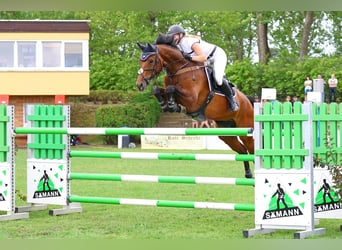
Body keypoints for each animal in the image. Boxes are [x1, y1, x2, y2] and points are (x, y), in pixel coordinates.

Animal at [136, 37, 254, 178]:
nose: (139, 84)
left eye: (151, 60)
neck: (179, 70)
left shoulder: (192, 100)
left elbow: (171, 89)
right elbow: (158, 90)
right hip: (226, 132)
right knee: (243, 150)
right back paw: (248, 174)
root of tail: (247, 100)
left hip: (246, 129)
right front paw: (167, 105)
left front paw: (174, 106)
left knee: (253, 150)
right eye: (140, 60)